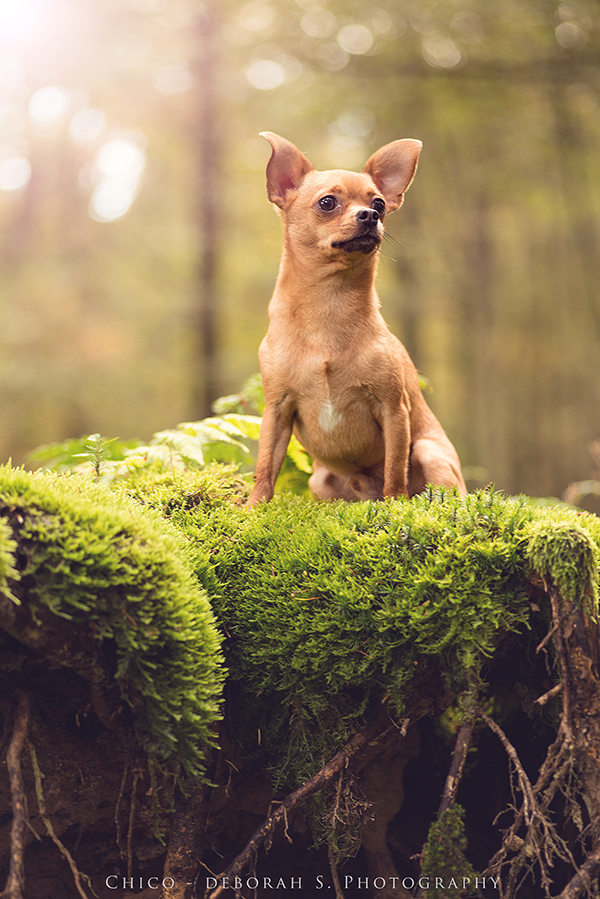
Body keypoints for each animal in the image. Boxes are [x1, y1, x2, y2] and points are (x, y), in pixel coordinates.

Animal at [246, 134, 466, 510]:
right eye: (327, 203)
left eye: (379, 204)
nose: (370, 215)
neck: (329, 305)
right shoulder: (276, 412)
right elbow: (265, 467)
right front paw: (254, 506)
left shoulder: (394, 410)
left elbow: (395, 468)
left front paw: (394, 505)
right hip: (321, 480)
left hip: (429, 452)